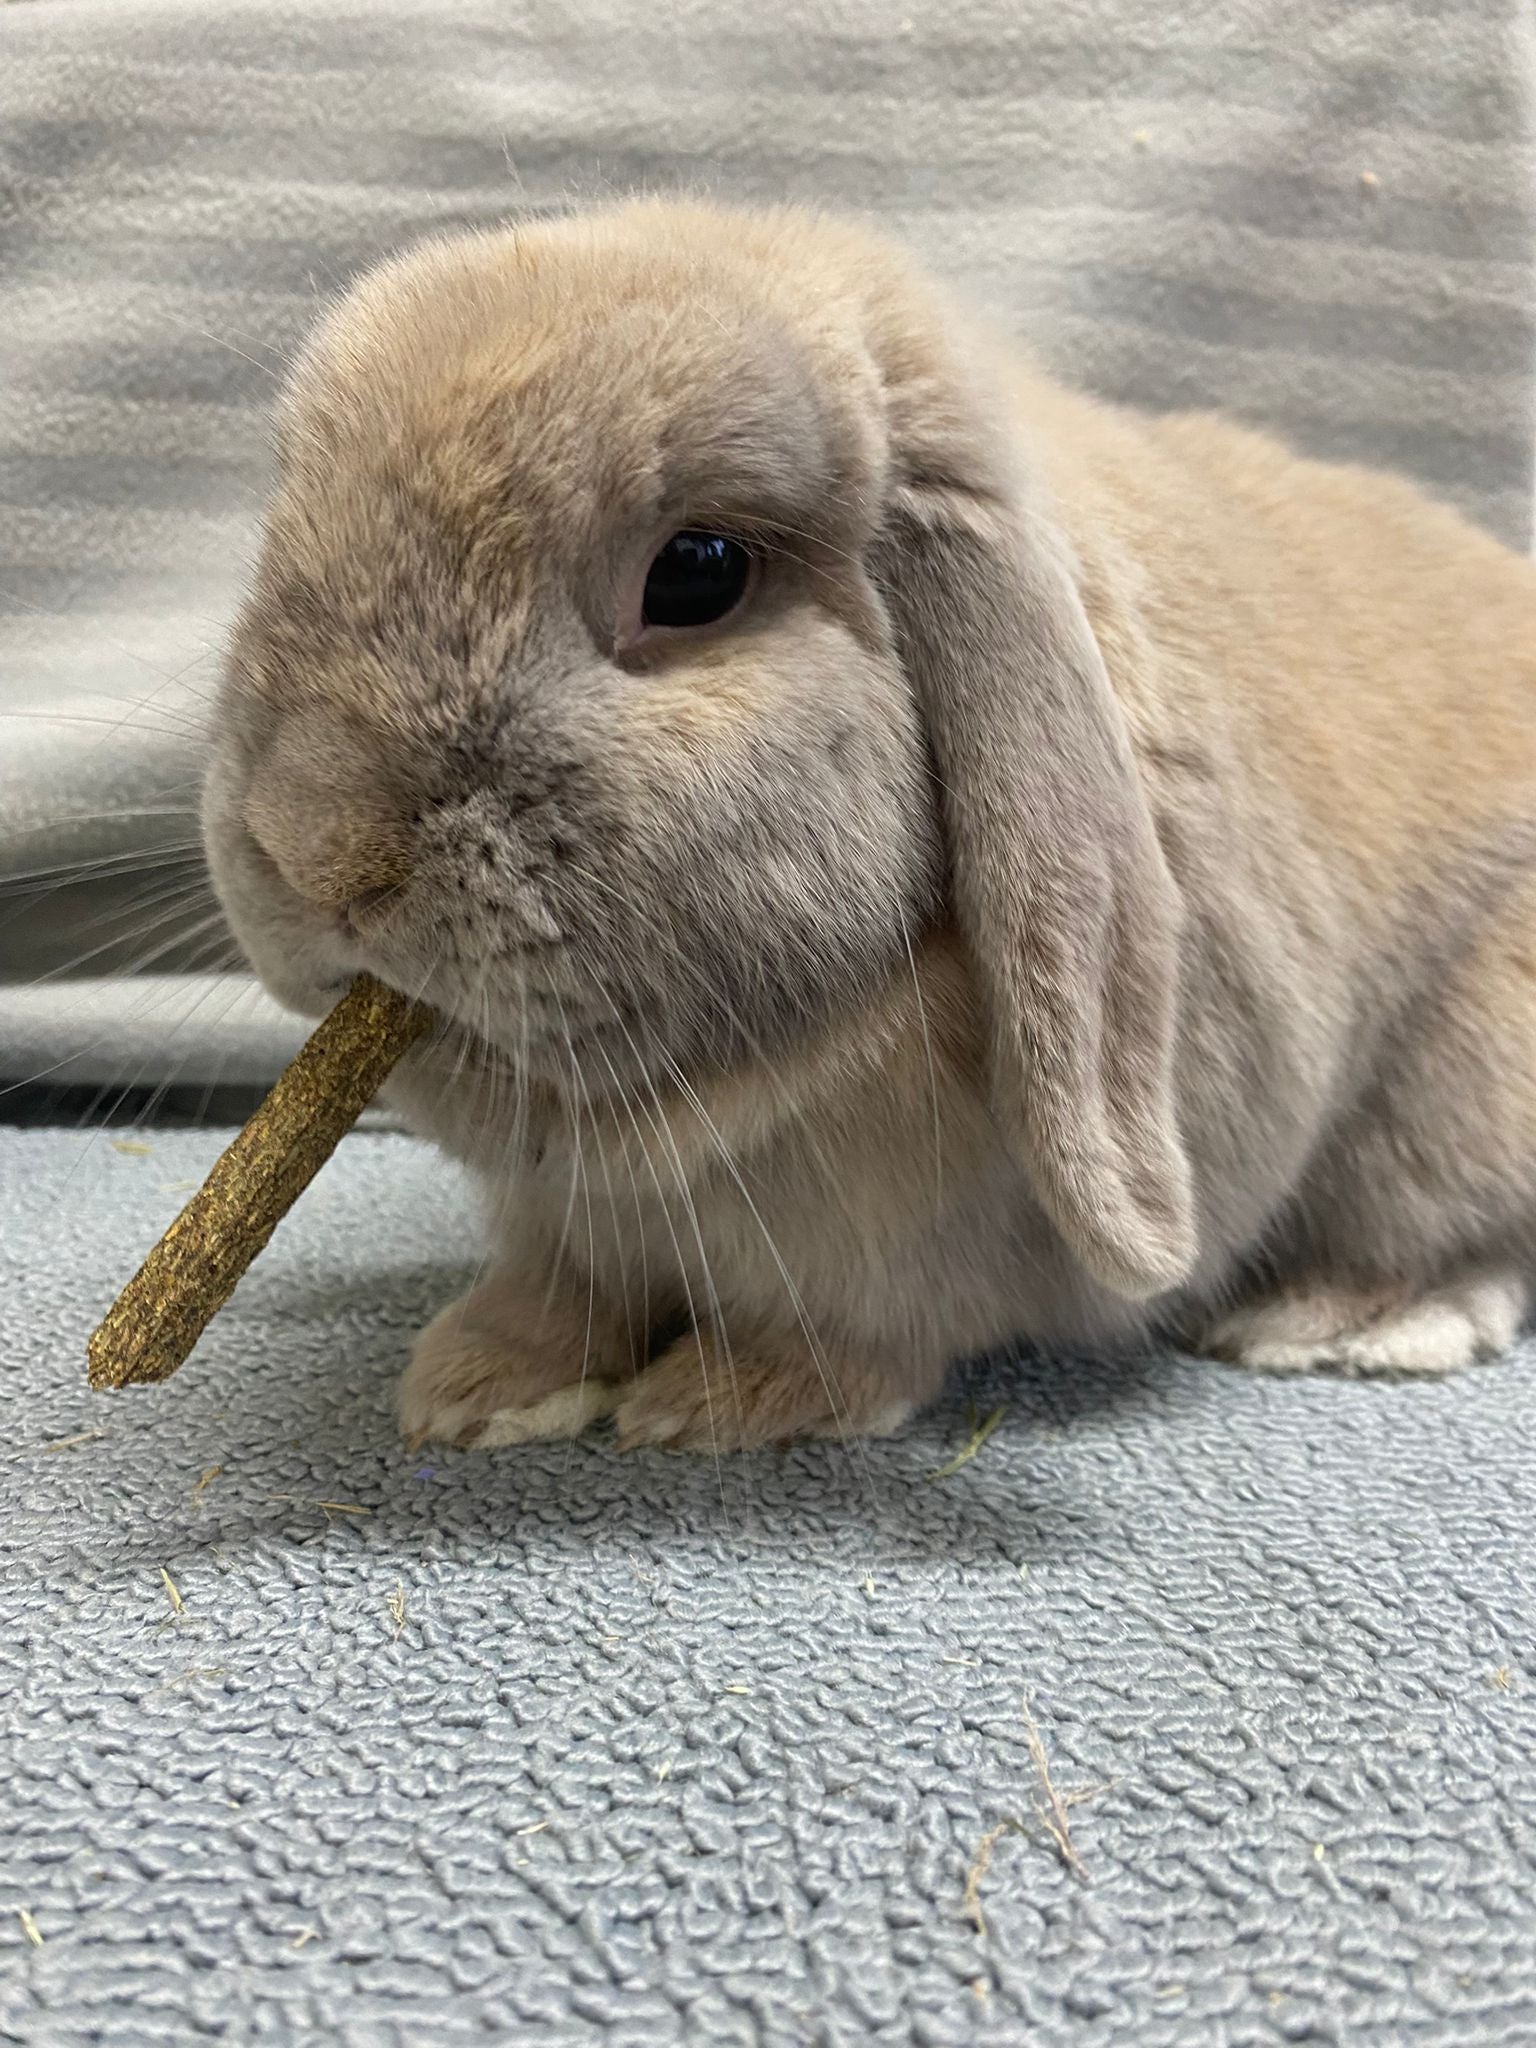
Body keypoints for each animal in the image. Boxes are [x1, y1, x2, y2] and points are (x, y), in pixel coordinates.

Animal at [202, 197, 1536, 1453]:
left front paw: (725, 1402)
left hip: (1452, 1087)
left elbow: (861, 1332)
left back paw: (1347, 1318)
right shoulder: (563, 1224)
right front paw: (477, 1385)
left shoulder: (902, 1249)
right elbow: (557, 1291)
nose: (315, 845)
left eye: (698, 570)